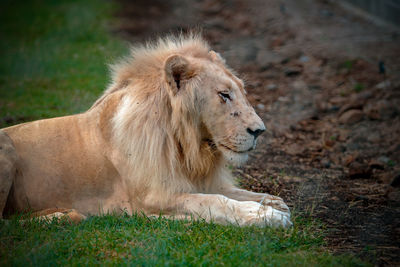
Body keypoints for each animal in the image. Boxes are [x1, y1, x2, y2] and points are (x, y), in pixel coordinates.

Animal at [1, 34, 292, 228]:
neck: (187, 146)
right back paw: (63, 216)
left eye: (241, 92)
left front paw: (272, 203)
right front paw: (267, 216)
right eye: (224, 95)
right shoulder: (150, 198)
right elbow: (214, 202)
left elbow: (235, 193)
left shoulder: (197, 181)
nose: (260, 131)